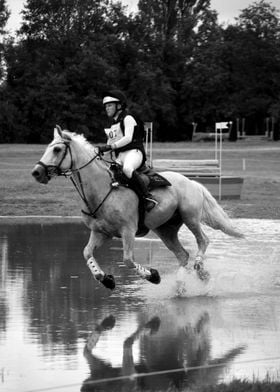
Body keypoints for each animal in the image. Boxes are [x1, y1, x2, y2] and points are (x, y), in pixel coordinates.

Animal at [31, 126, 244, 290]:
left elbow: (127, 260)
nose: (36, 172)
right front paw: (106, 279)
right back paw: (185, 285)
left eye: (57, 149)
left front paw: (154, 276)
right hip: (165, 230)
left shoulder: (128, 230)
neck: (101, 190)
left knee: (203, 240)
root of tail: (192, 181)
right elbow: (87, 253)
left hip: (190, 217)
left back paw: (199, 267)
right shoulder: (101, 232)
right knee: (182, 255)